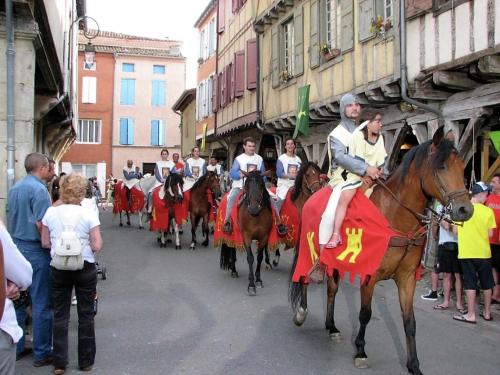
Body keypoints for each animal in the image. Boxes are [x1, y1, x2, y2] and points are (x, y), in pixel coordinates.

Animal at [290, 128, 472, 374]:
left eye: (462, 167)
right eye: (441, 167)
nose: (465, 210)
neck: (394, 217)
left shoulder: (407, 279)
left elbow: (410, 322)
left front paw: (414, 365)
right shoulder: (371, 275)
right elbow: (365, 314)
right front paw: (360, 351)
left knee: (332, 289)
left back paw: (331, 326)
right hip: (309, 251)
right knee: (303, 277)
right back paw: (301, 312)